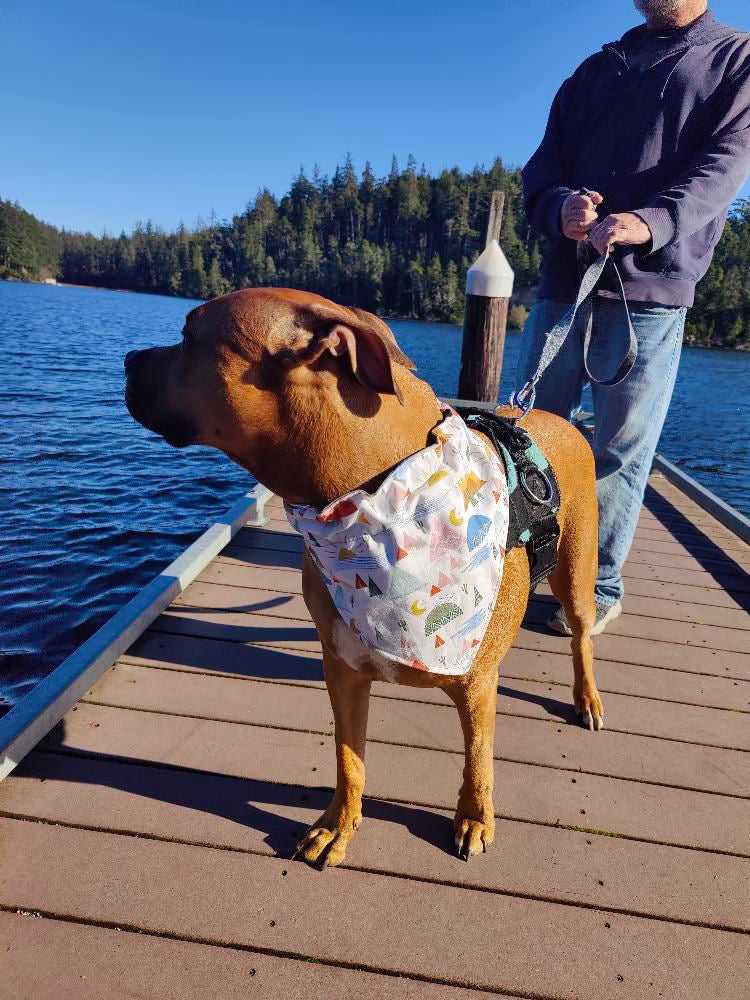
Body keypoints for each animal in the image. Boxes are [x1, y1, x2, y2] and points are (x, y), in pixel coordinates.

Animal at [123, 288, 604, 868]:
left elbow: (477, 759)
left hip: (576, 575)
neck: (372, 499)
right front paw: (339, 825)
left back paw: (587, 699)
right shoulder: (344, 671)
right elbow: (348, 759)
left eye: (190, 336)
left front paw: (474, 817)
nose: (127, 360)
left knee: (581, 638)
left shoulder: (475, 683)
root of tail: (561, 418)